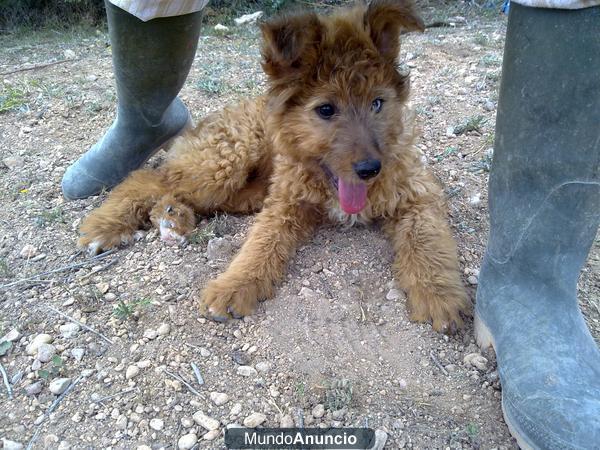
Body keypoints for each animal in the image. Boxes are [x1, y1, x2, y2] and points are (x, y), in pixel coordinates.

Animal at [77, 0, 472, 334]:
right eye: (326, 109)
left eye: (378, 103)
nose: (369, 169)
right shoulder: (285, 206)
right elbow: (260, 245)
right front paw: (234, 285)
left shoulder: (417, 194)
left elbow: (428, 241)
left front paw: (438, 294)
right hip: (225, 160)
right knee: (148, 177)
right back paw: (106, 225)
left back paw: (173, 218)